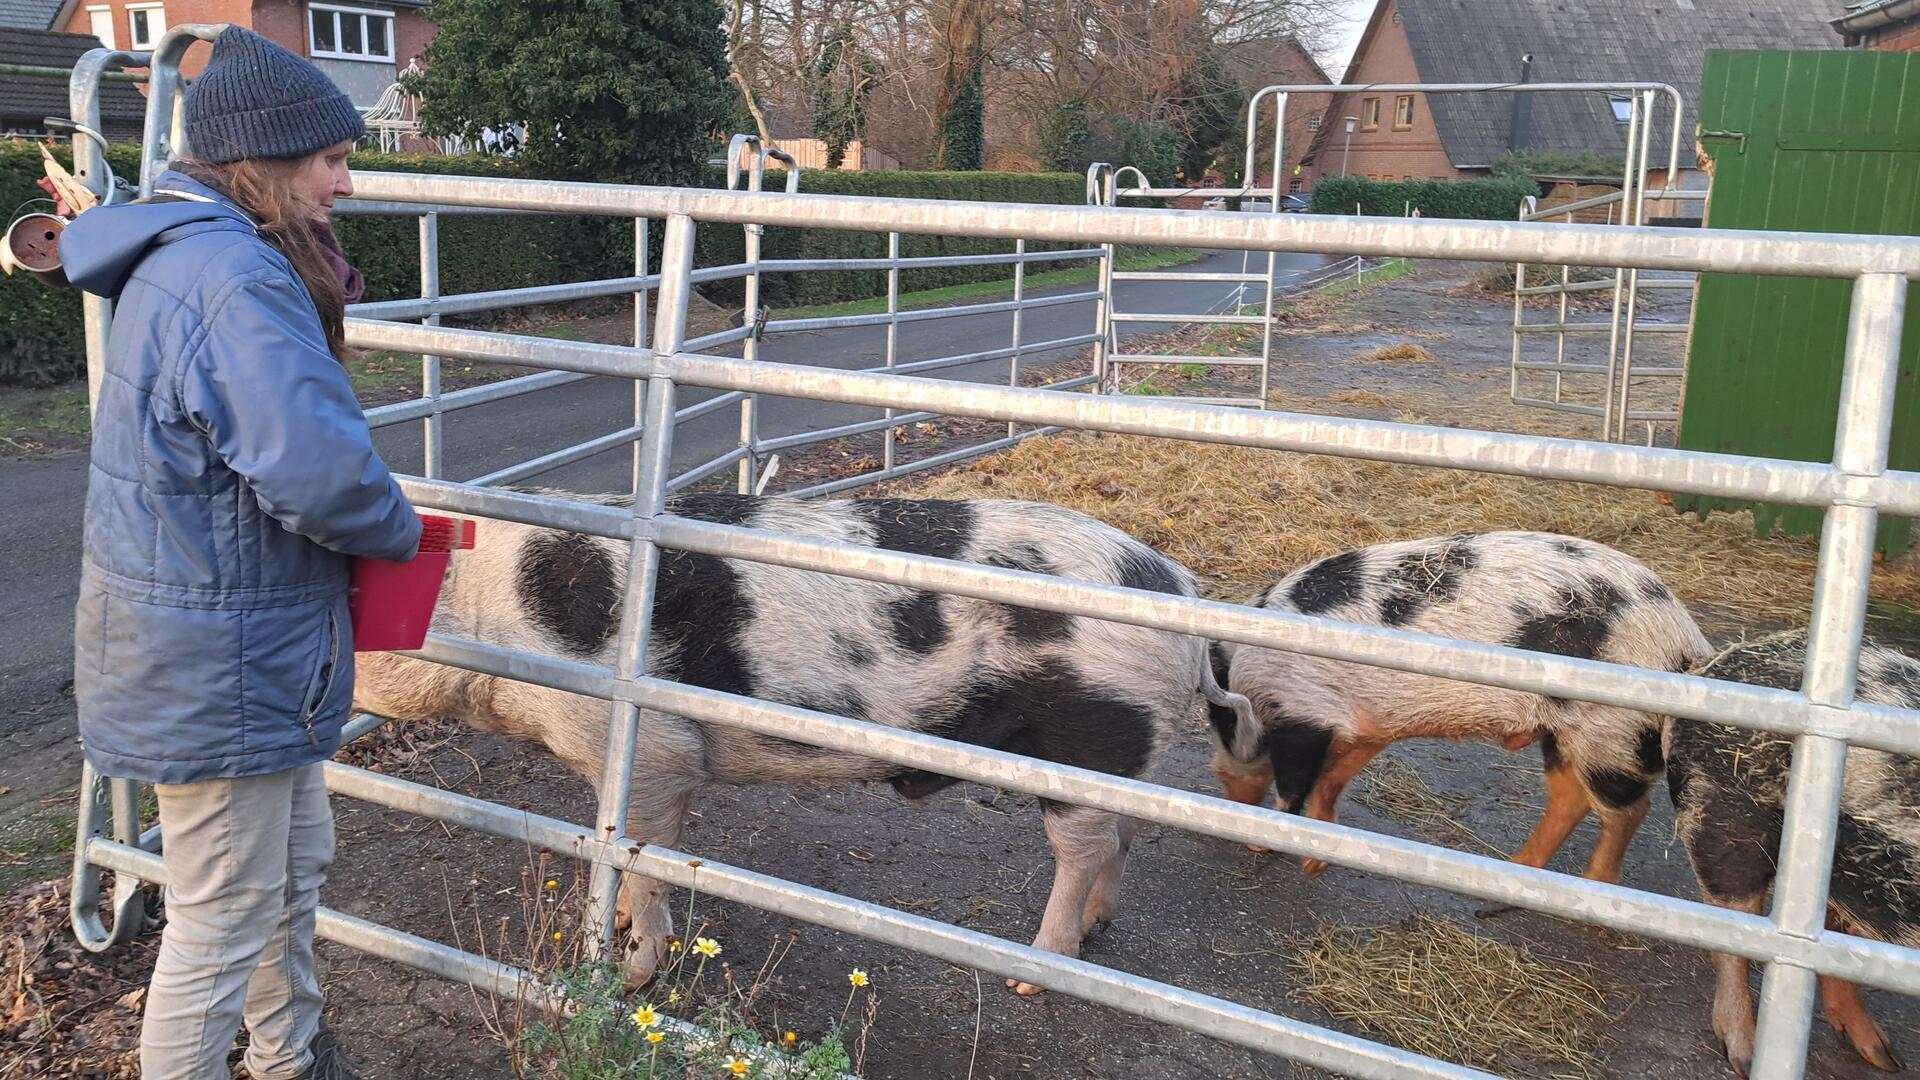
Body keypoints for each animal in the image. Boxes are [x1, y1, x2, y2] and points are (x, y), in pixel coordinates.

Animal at [353, 490, 1251, 991]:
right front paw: (611, 926)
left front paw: (630, 970)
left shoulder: (654, 751)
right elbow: (612, 845)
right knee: (1122, 838)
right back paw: (1095, 931)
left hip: (1089, 737)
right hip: (1122, 754)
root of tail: (1179, 591)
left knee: (1082, 849)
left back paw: (1037, 969)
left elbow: (639, 851)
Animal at [1205, 526, 1704, 880]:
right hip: (1567, 731)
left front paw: (1262, 845)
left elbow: (1295, 785)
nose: (1224, 783)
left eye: (1220, 722)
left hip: (1613, 729)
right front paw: (1315, 863)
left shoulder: (1304, 713)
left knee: (1627, 809)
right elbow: (1331, 781)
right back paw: (1516, 872)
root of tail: (1686, 641)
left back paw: (1591, 885)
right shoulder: (1363, 724)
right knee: (1570, 798)